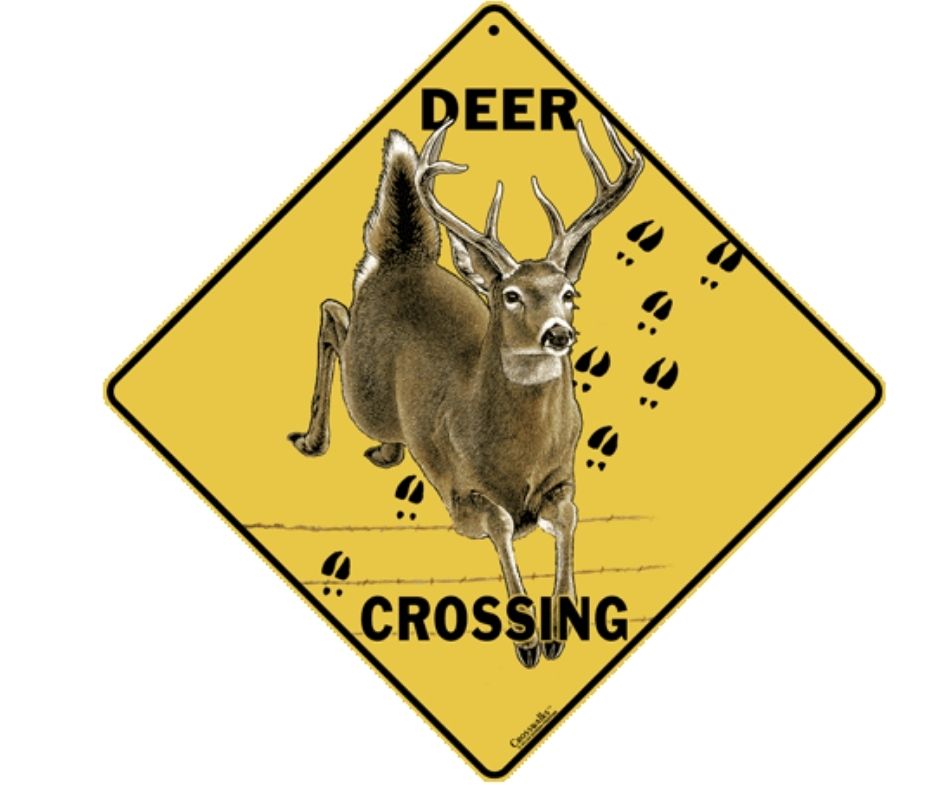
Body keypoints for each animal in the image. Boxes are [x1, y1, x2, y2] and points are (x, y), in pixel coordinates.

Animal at [289, 115, 644, 667]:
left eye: (569, 293)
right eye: (511, 295)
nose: (559, 333)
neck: (518, 457)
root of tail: (400, 260)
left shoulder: (563, 476)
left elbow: (567, 516)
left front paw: (560, 625)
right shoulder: (459, 489)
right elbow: (500, 523)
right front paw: (527, 639)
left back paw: (387, 452)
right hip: (363, 391)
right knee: (331, 313)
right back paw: (312, 439)